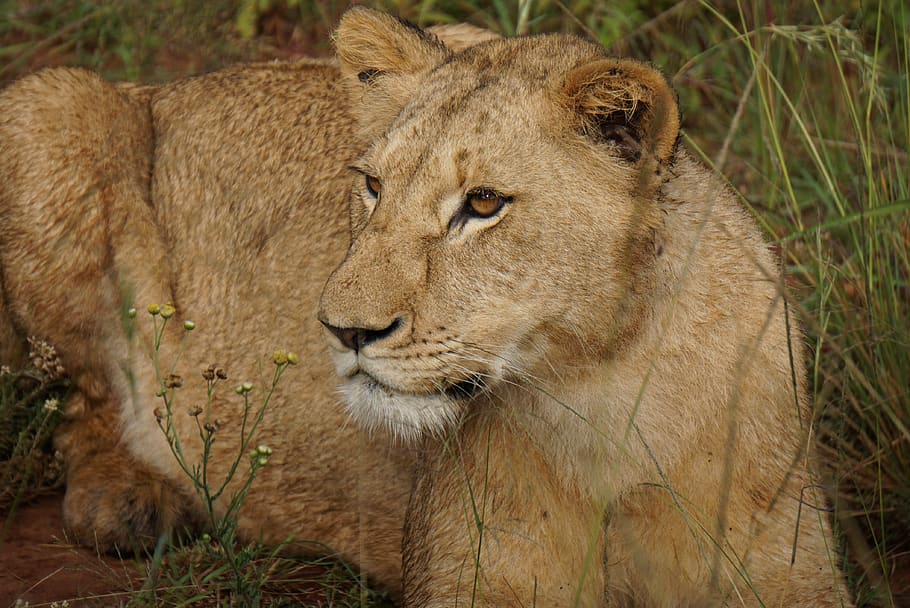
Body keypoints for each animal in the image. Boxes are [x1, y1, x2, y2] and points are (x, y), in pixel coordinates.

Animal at [0, 7, 851, 606]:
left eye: (483, 204)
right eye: (372, 186)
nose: (343, 330)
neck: (604, 388)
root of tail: (183, 83)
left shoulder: (790, 573)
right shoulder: (468, 576)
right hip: (50, 104)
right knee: (81, 402)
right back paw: (125, 501)